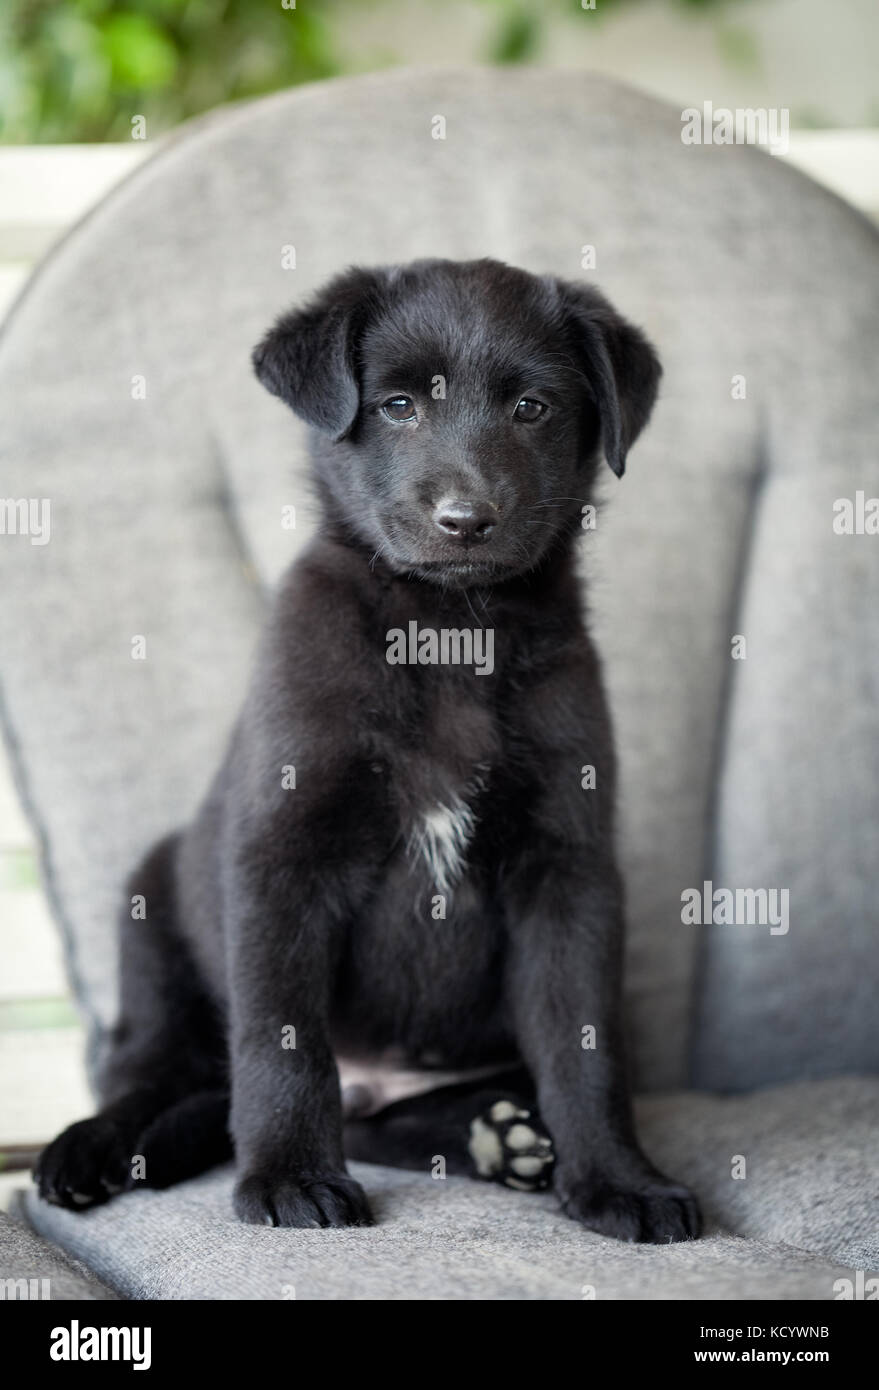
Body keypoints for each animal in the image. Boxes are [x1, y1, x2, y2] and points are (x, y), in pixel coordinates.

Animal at [37, 261, 703, 1251]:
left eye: (532, 408)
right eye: (397, 406)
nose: (467, 518)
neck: (448, 635)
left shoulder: (568, 869)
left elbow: (584, 1049)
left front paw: (618, 1182)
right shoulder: (280, 854)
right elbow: (282, 1042)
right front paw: (289, 1179)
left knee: (400, 1121)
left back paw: (503, 1139)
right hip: (152, 928)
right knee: (154, 1078)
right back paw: (93, 1151)